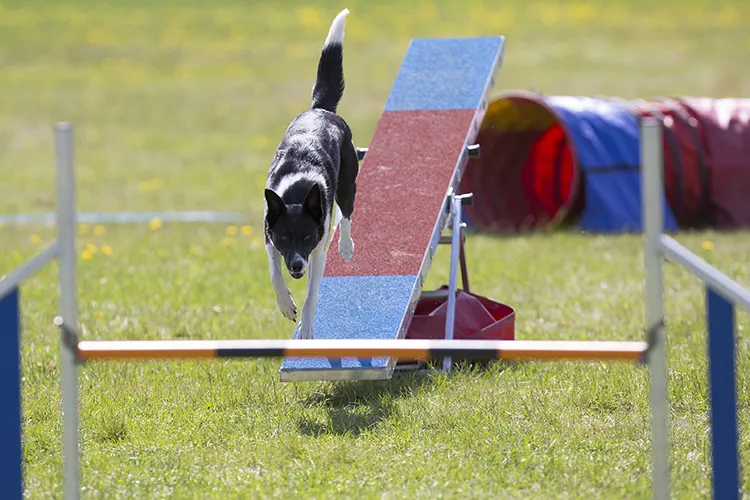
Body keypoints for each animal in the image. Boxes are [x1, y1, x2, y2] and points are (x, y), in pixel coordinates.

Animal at [262, 7, 360, 340]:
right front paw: (285, 305)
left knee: (346, 212)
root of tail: (320, 109)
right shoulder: (269, 235)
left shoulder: (316, 253)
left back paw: (345, 245)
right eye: (284, 237)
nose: (296, 267)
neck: (297, 191)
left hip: (347, 183)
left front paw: (305, 328)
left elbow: (312, 293)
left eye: (306, 236)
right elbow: (273, 272)